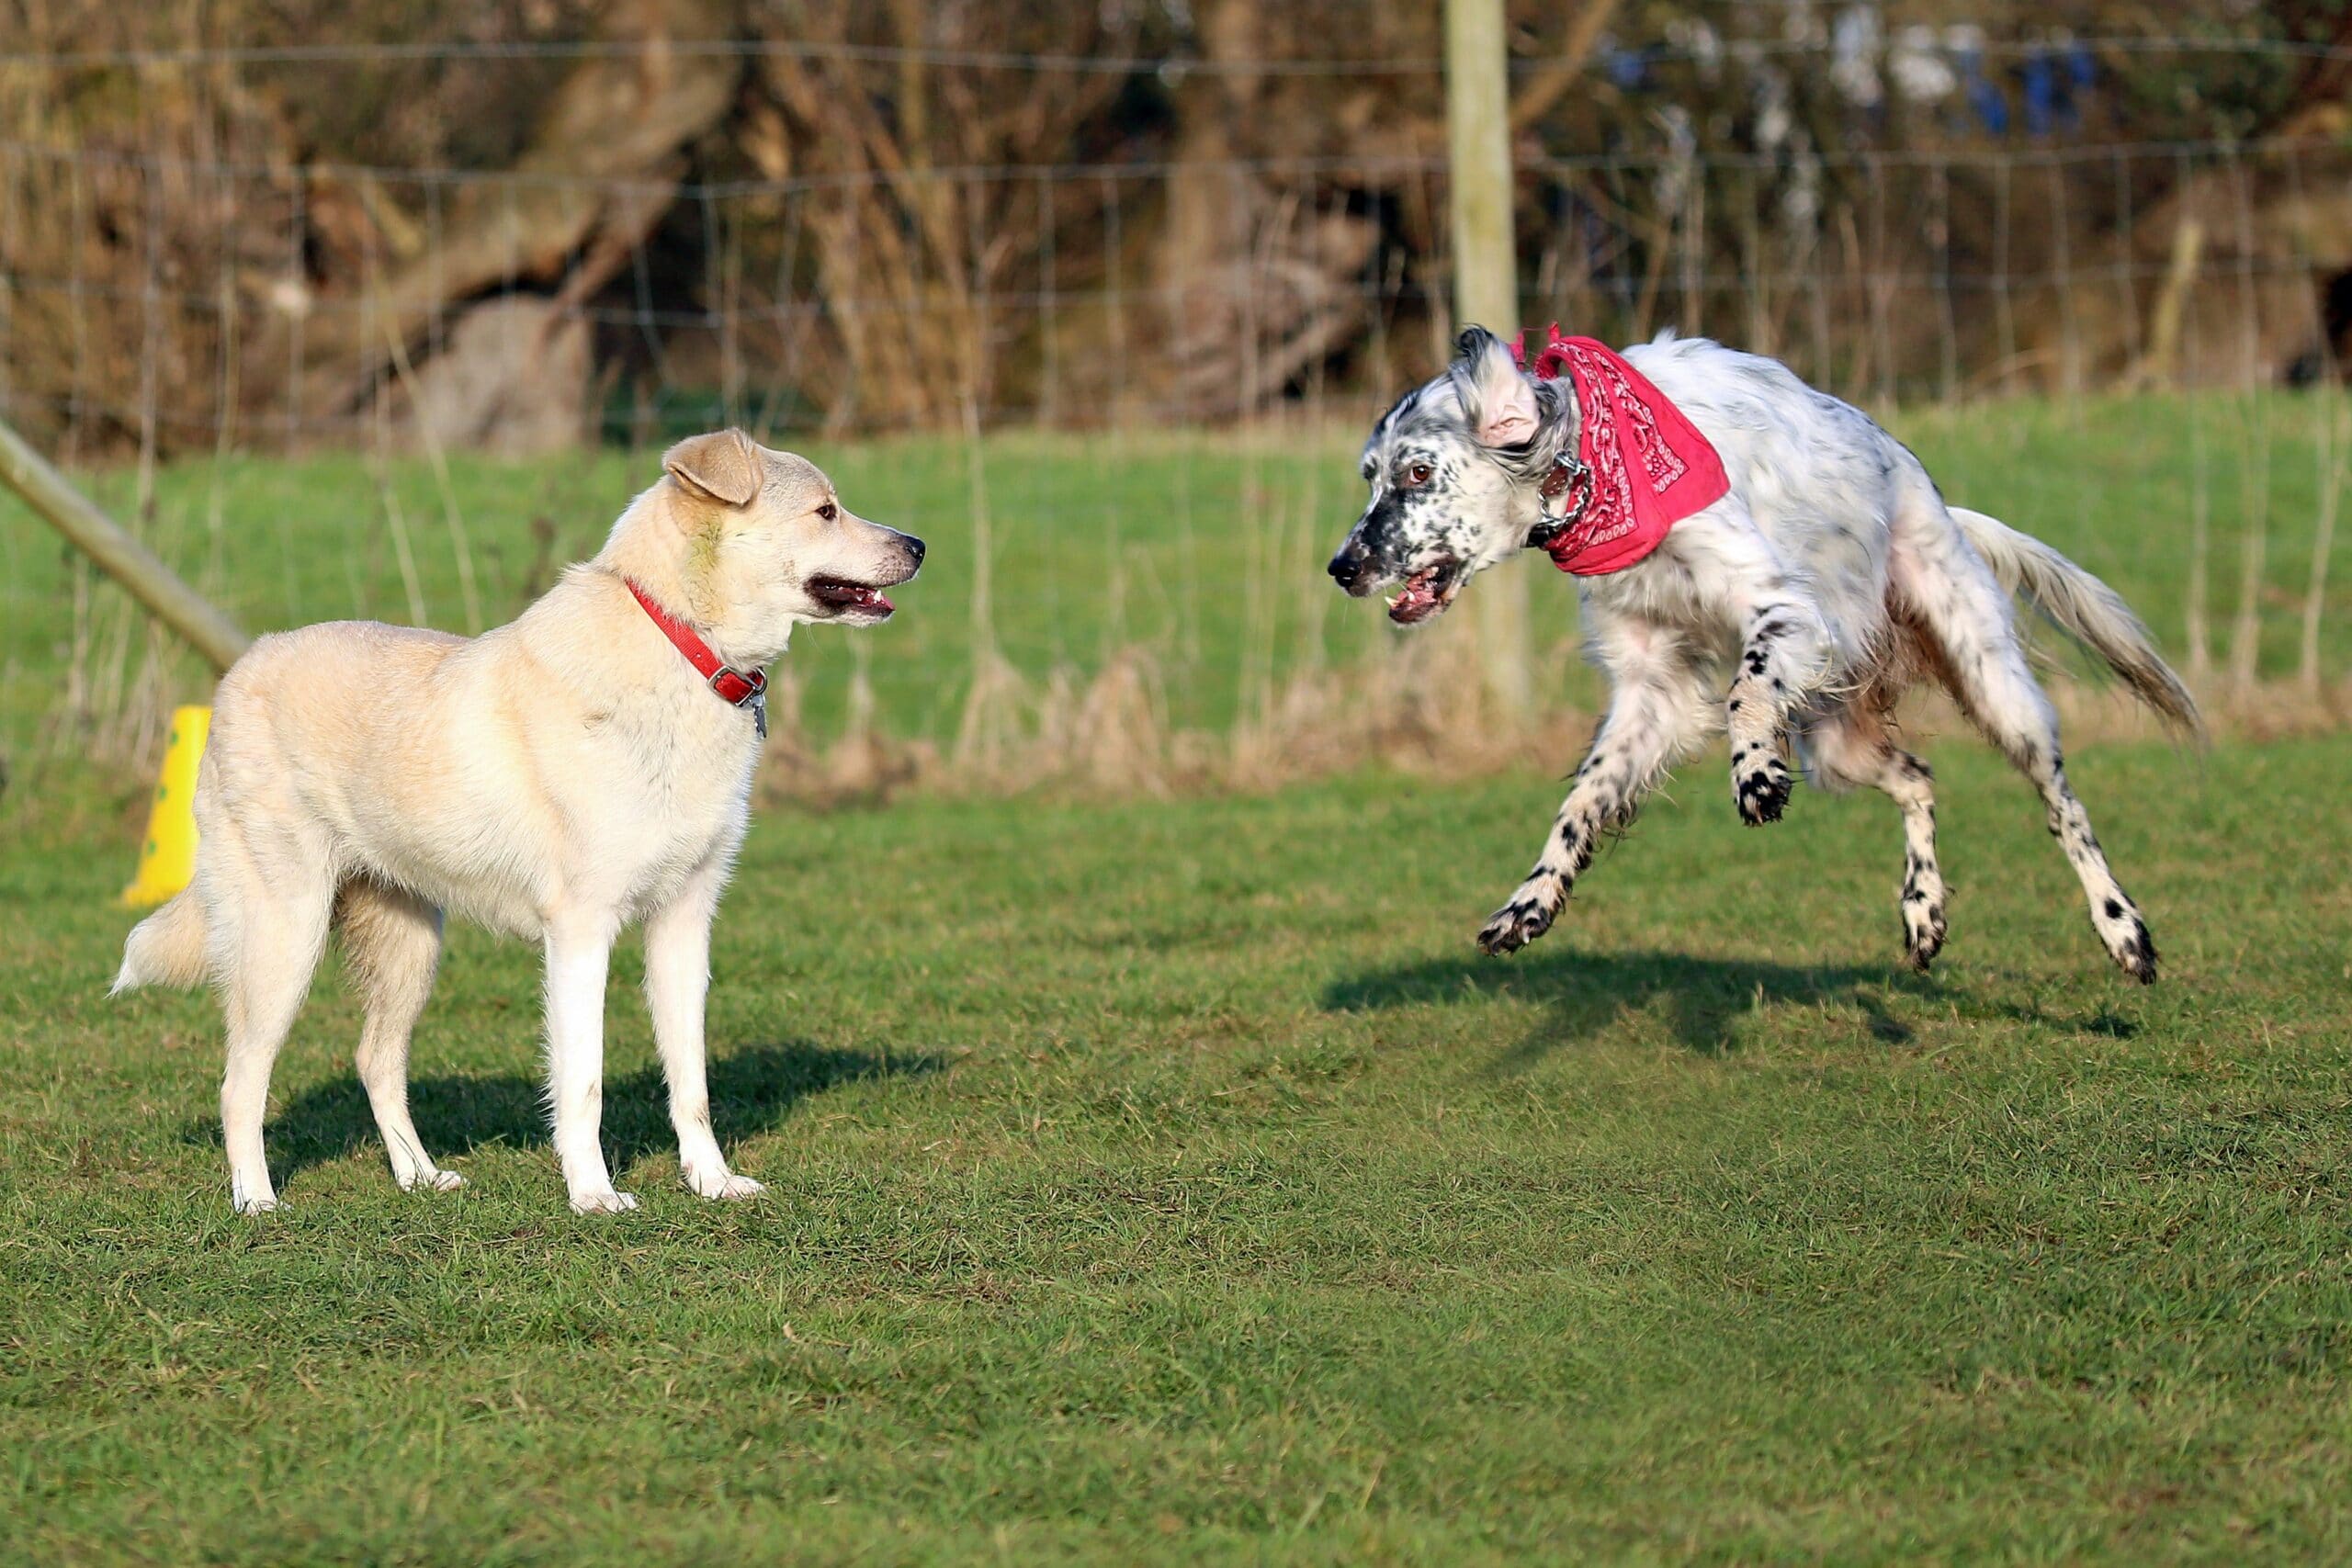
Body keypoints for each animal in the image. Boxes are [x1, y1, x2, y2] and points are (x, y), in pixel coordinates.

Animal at [114, 430, 917, 1213]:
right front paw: (594, 1196)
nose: (918, 546)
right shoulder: (582, 931)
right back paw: (257, 1200)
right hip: (286, 934)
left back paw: (421, 1179)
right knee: (241, 1078)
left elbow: (691, 1081)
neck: (682, 644)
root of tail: (242, 669)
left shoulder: (685, 922)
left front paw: (713, 1183)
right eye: (825, 511)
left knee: (376, 1061)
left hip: (409, 944)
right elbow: (584, 1081)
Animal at [1336, 326, 2191, 982]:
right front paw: (1531, 901)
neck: (1594, 467)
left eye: (1418, 473)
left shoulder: (1786, 610)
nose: (1342, 567)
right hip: (1835, 741)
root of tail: (1938, 500)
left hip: (1992, 682)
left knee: (2063, 809)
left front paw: (1752, 773)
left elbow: (1744, 690)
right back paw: (1923, 911)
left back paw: (2123, 929)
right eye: (1371, 476)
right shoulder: (1651, 688)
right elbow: (1582, 801)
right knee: (1918, 778)